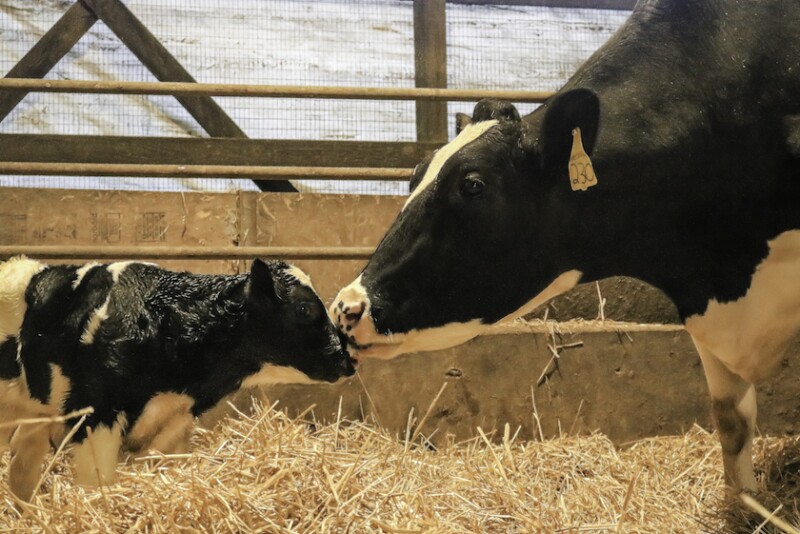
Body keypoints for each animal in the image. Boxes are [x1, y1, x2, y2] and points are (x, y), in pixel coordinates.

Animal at [0, 256, 356, 501]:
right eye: (303, 308)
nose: (346, 360)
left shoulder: (176, 421)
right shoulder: (94, 417)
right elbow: (98, 486)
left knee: (22, 470)